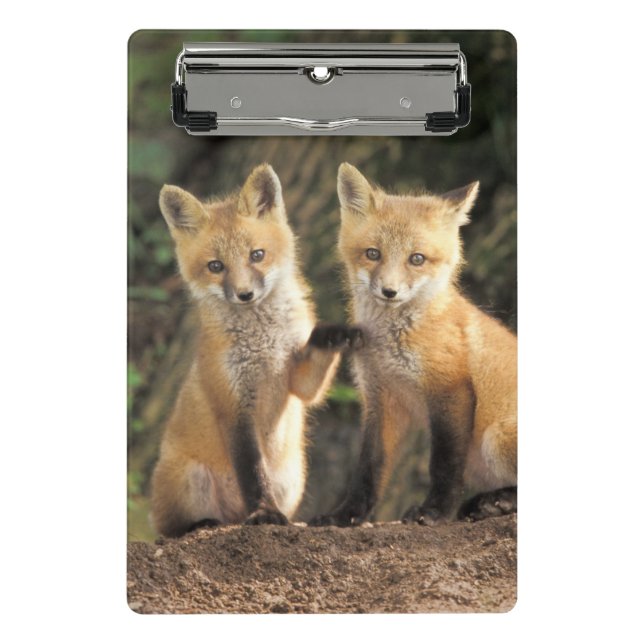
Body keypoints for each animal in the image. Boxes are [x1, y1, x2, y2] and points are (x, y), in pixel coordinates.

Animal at [150, 164, 362, 537]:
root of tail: (233, 516)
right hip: (190, 480)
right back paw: (203, 524)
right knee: (170, 528)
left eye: (257, 255)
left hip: (293, 479)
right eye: (216, 266)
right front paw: (264, 512)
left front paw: (336, 333)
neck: (264, 344)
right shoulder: (234, 405)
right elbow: (252, 472)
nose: (245, 294)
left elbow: (312, 370)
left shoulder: (297, 380)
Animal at [311, 163, 517, 527]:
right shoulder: (381, 397)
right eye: (373, 254)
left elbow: (444, 465)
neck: (390, 345)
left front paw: (434, 512)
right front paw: (346, 515)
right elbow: (368, 468)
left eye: (417, 259)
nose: (389, 291)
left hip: (497, 437)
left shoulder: (450, 388)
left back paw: (497, 503)